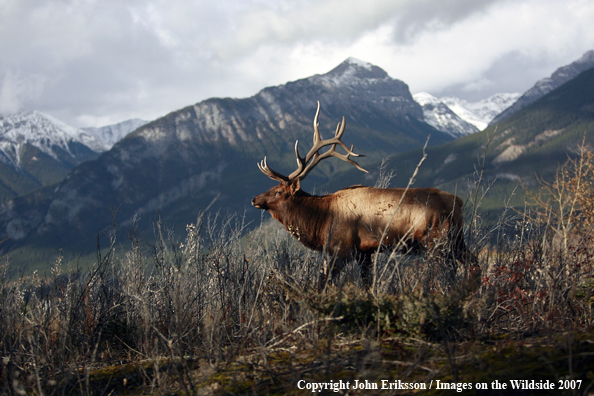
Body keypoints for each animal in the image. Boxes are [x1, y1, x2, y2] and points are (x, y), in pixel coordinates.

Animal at [252, 102, 474, 288]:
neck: (320, 220)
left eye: (278, 191)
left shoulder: (341, 249)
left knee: (448, 271)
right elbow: (367, 283)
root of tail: (458, 201)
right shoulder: (364, 252)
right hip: (456, 239)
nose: (255, 199)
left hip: (436, 239)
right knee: (472, 263)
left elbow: (324, 281)